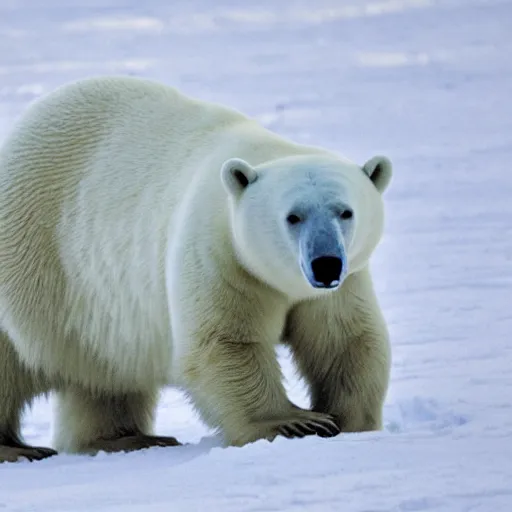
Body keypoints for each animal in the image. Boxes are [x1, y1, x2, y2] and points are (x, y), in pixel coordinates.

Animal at [0, 76, 392, 464]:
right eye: (292, 216)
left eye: (345, 211)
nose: (325, 263)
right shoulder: (218, 254)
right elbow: (225, 342)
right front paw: (292, 422)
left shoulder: (342, 283)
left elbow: (345, 340)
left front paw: (351, 422)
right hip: (35, 260)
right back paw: (20, 448)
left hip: (96, 319)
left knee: (106, 377)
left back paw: (128, 439)